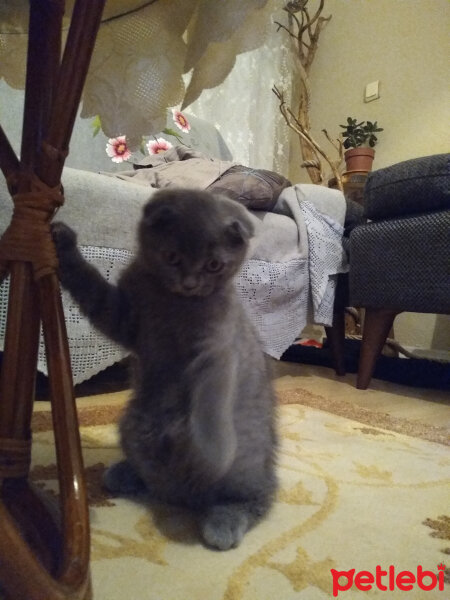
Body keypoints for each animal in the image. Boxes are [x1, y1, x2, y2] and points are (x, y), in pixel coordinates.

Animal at [52, 190, 278, 552]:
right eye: (172, 257)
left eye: (214, 265)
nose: (189, 283)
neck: (173, 304)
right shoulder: (125, 318)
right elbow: (93, 289)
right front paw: (63, 242)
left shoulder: (217, 350)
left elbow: (212, 400)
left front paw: (211, 454)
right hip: (131, 425)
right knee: (156, 480)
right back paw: (126, 475)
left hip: (247, 463)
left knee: (252, 500)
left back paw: (222, 523)